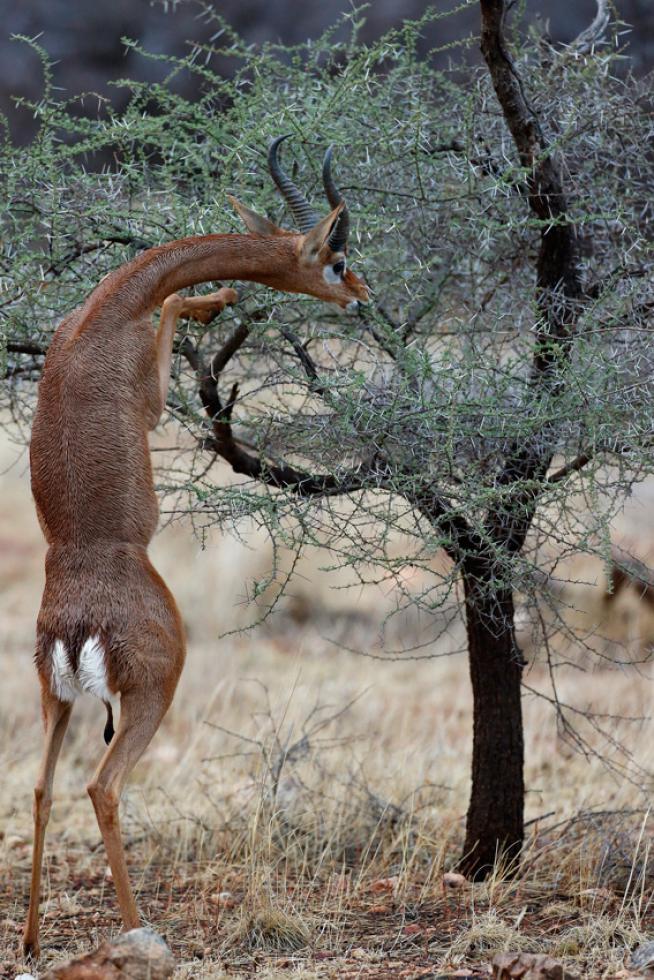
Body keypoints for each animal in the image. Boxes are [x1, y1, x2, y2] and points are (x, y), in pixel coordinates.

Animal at [21, 134, 368, 952]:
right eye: (336, 256)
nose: (363, 297)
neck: (101, 311)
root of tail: (76, 629)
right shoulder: (148, 399)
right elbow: (175, 302)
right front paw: (223, 298)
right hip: (154, 690)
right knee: (101, 785)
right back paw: (139, 931)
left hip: (52, 698)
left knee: (41, 787)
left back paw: (31, 942)